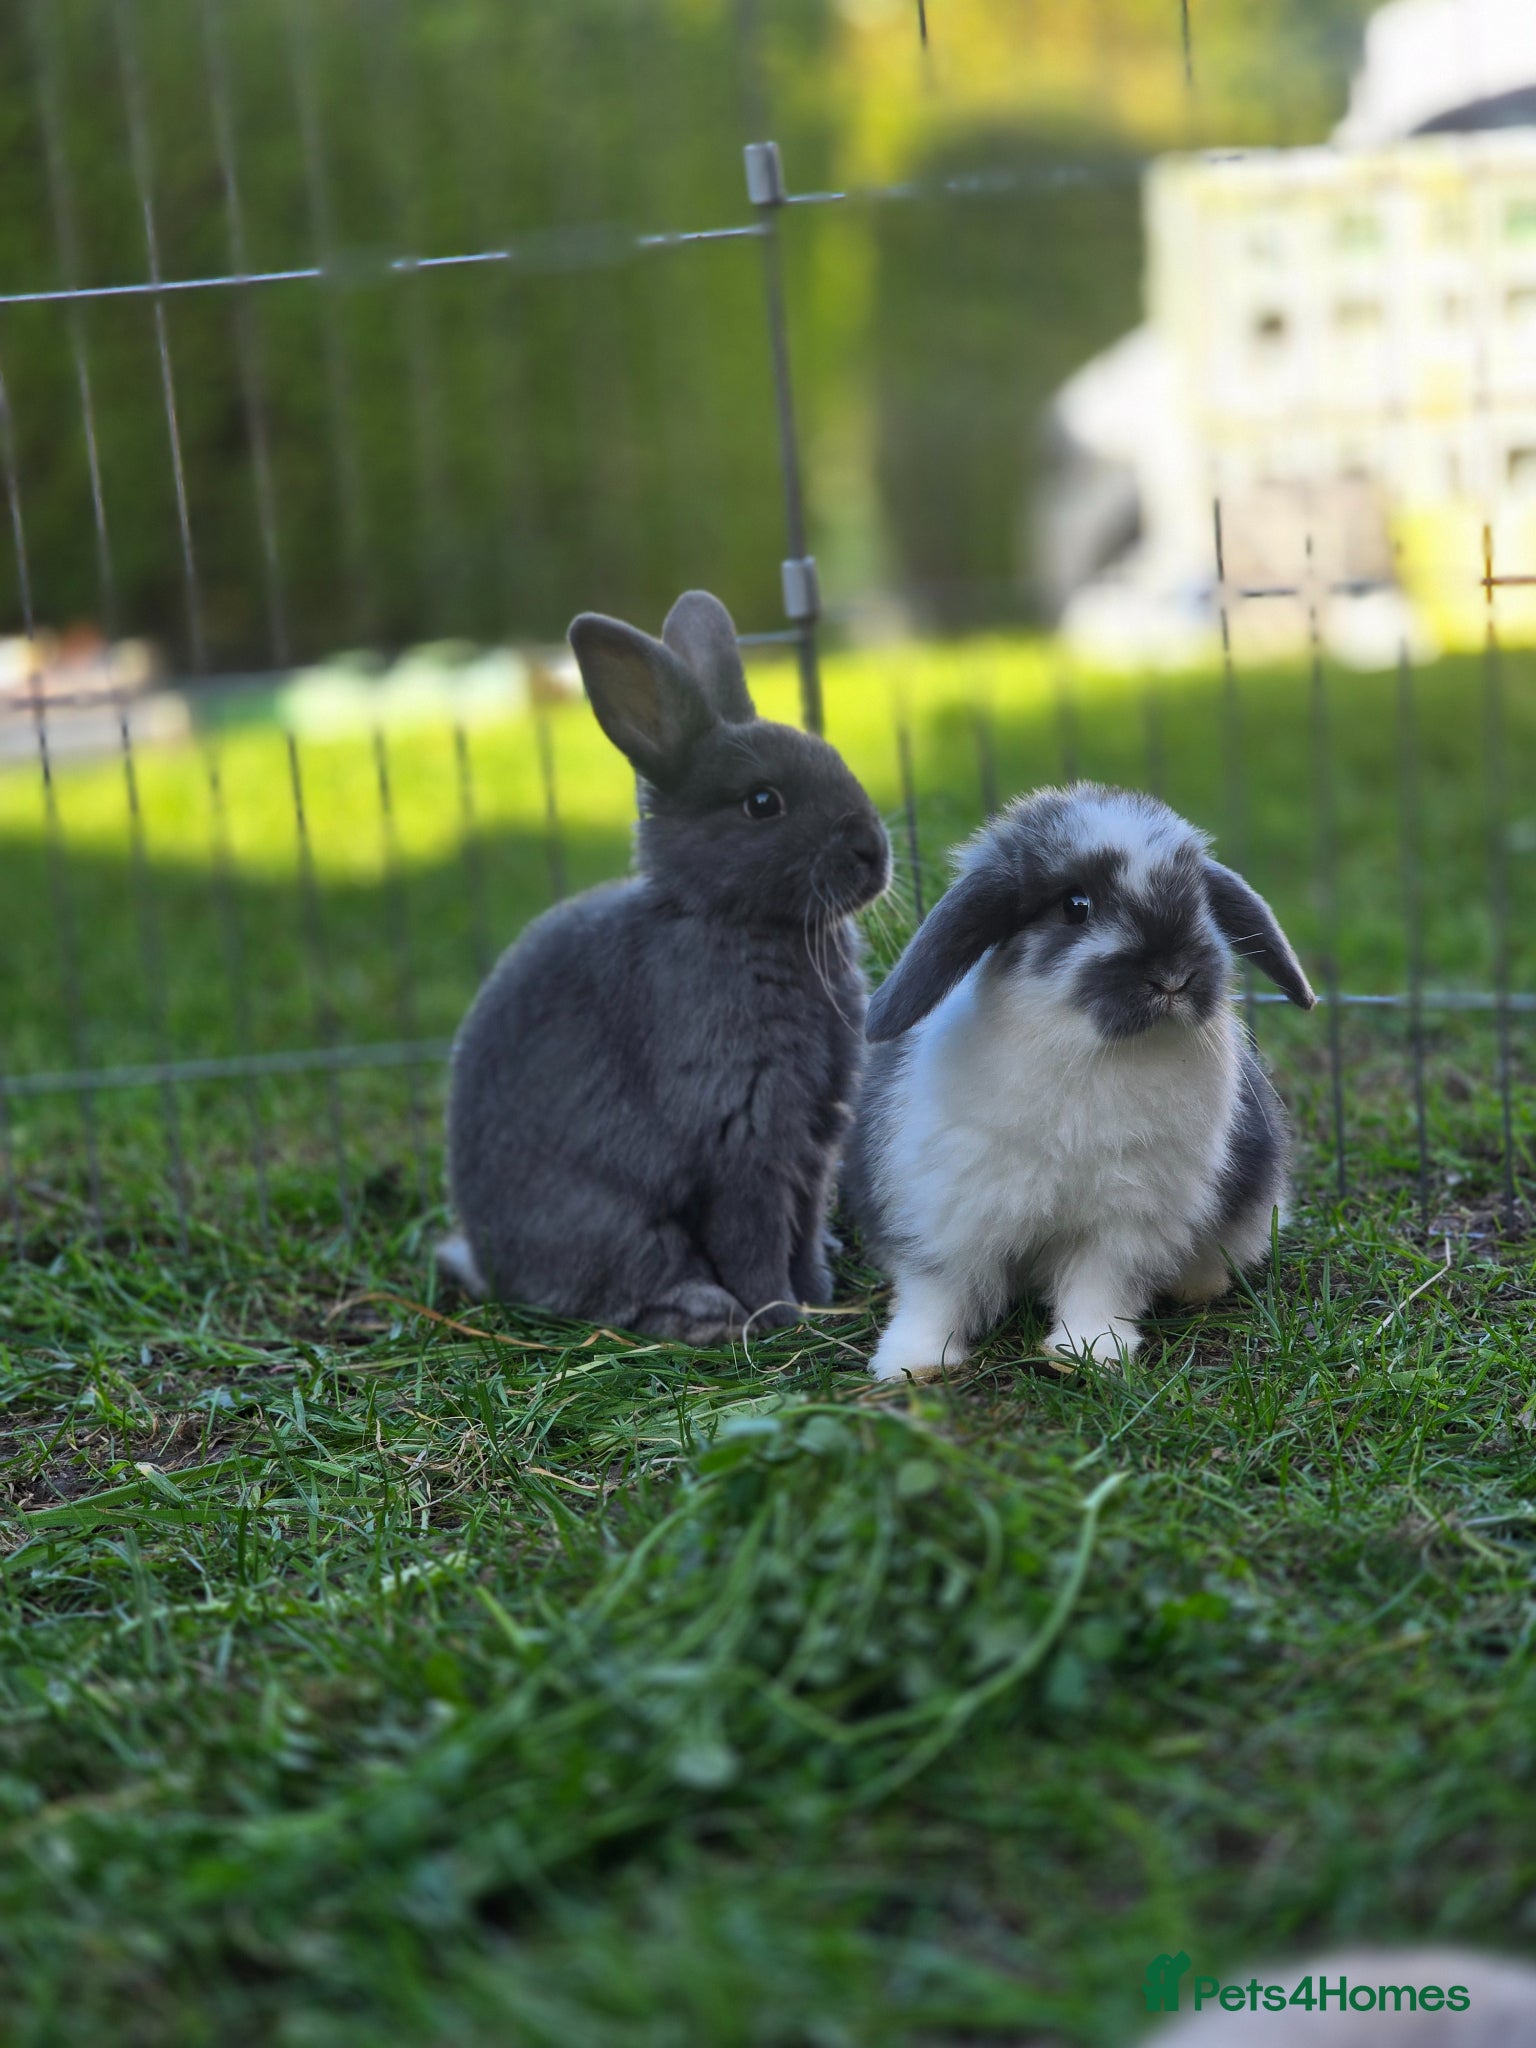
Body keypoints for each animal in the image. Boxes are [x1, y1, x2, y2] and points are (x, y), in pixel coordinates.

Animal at [440, 589, 891, 1347]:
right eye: (762, 803)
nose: (872, 850)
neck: (736, 921)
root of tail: (490, 1261)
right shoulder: (742, 1137)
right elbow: (756, 1238)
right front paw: (783, 1317)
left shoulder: (812, 1138)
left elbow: (801, 1229)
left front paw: (817, 1294)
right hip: (622, 1227)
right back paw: (710, 1317)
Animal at [842, 782, 1314, 1381]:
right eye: (1075, 906)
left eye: (1200, 902)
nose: (1174, 977)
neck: (1092, 1052)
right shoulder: (947, 1212)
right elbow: (938, 1290)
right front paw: (912, 1363)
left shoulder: (1126, 1220)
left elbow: (1100, 1285)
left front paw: (1087, 1353)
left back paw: (1198, 1285)